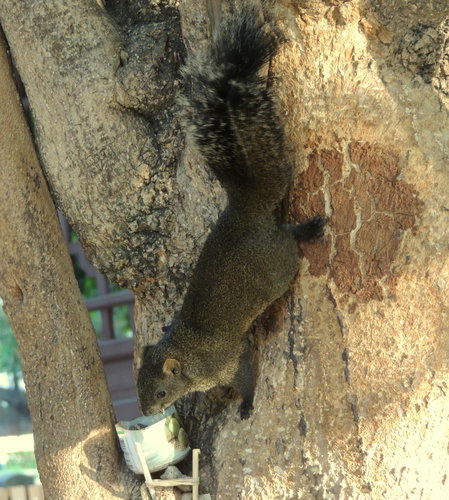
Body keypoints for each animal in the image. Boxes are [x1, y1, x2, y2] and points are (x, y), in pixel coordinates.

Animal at [136, 4, 326, 418]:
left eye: (160, 391)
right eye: (136, 383)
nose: (147, 413)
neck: (187, 352)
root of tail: (244, 211)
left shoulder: (226, 360)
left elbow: (245, 375)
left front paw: (247, 403)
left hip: (277, 265)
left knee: (288, 240)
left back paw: (308, 231)